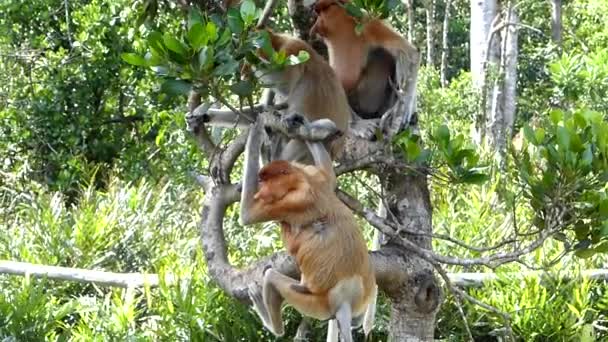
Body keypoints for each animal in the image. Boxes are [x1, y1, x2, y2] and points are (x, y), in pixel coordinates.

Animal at [241, 115, 376, 342]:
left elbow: (248, 215)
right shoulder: (316, 176)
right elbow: (328, 174)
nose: (262, 193)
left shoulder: (293, 201)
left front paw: (256, 130)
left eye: (266, 181)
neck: (300, 179)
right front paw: (306, 128)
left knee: (271, 277)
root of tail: (344, 300)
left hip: (316, 304)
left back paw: (271, 322)